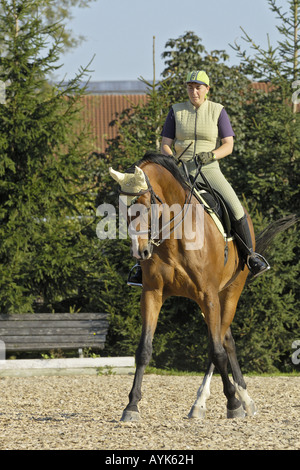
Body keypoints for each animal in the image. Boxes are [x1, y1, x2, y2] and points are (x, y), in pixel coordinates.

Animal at [109, 151, 296, 422]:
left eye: (144, 204)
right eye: (121, 210)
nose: (140, 252)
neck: (174, 237)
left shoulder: (208, 295)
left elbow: (215, 351)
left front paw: (231, 403)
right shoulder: (152, 293)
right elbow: (144, 349)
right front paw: (132, 405)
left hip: (229, 292)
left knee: (220, 341)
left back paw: (214, 402)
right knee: (227, 338)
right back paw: (242, 399)